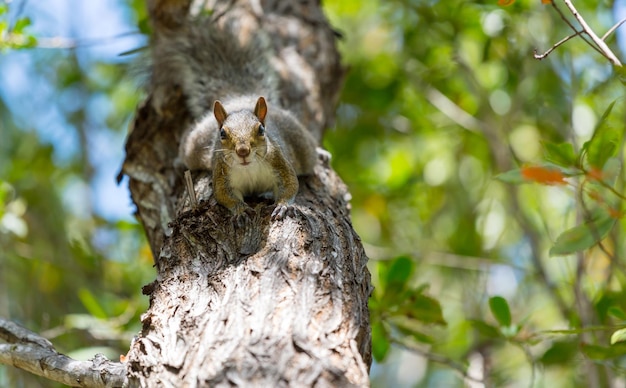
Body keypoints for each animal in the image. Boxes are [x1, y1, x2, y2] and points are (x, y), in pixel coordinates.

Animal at [150, 19, 316, 224]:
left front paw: (283, 205)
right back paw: (178, 162)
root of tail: (240, 99)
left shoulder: (279, 162)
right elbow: (224, 195)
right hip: (194, 145)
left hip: (302, 145)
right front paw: (240, 210)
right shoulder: (222, 175)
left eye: (261, 130)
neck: (249, 167)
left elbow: (291, 184)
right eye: (222, 133)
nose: (243, 151)